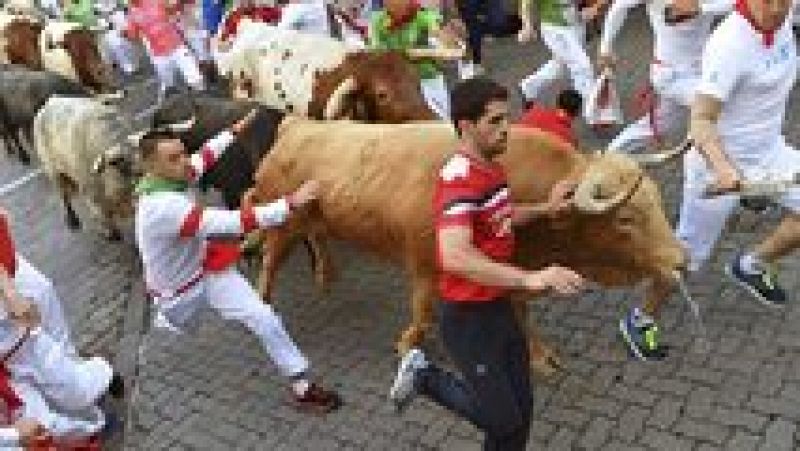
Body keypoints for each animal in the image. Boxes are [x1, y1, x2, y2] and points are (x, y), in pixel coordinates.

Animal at [244, 120, 688, 378]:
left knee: (316, 237)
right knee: (269, 259)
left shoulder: (512, 273)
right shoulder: (426, 267)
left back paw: (326, 275)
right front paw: (408, 344)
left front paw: (540, 356)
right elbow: (423, 313)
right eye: (625, 218)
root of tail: (296, 125)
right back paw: (264, 306)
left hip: (316, 219)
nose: (682, 259)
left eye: (656, 199)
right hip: (283, 221)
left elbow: (522, 316)